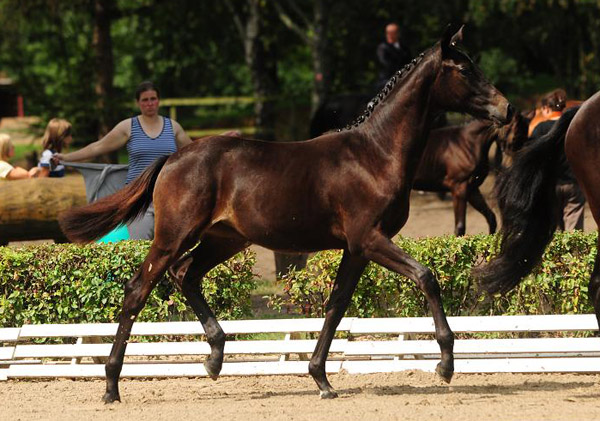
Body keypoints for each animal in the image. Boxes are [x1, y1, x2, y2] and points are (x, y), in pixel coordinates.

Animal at [58, 27, 512, 402]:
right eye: (465, 69)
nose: (505, 109)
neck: (376, 154)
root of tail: (172, 158)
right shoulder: (370, 238)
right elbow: (426, 277)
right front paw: (445, 365)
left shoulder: (356, 249)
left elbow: (336, 305)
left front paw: (321, 378)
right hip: (174, 235)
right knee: (139, 289)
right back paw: (112, 386)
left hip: (223, 239)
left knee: (185, 275)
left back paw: (214, 358)